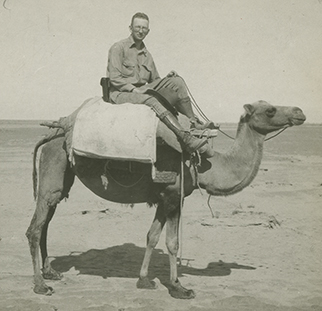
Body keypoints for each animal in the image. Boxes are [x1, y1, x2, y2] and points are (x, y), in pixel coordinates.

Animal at [26, 100, 306, 300]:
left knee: (46, 223)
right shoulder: (174, 195)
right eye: (270, 110)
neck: (206, 166)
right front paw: (178, 287)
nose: (300, 112)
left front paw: (144, 280)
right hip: (53, 169)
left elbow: (151, 236)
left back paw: (51, 273)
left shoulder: (163, 198)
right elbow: (173, 242)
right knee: (35, 228)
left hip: (62, 179)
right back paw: (40, 286)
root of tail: (55, 131)